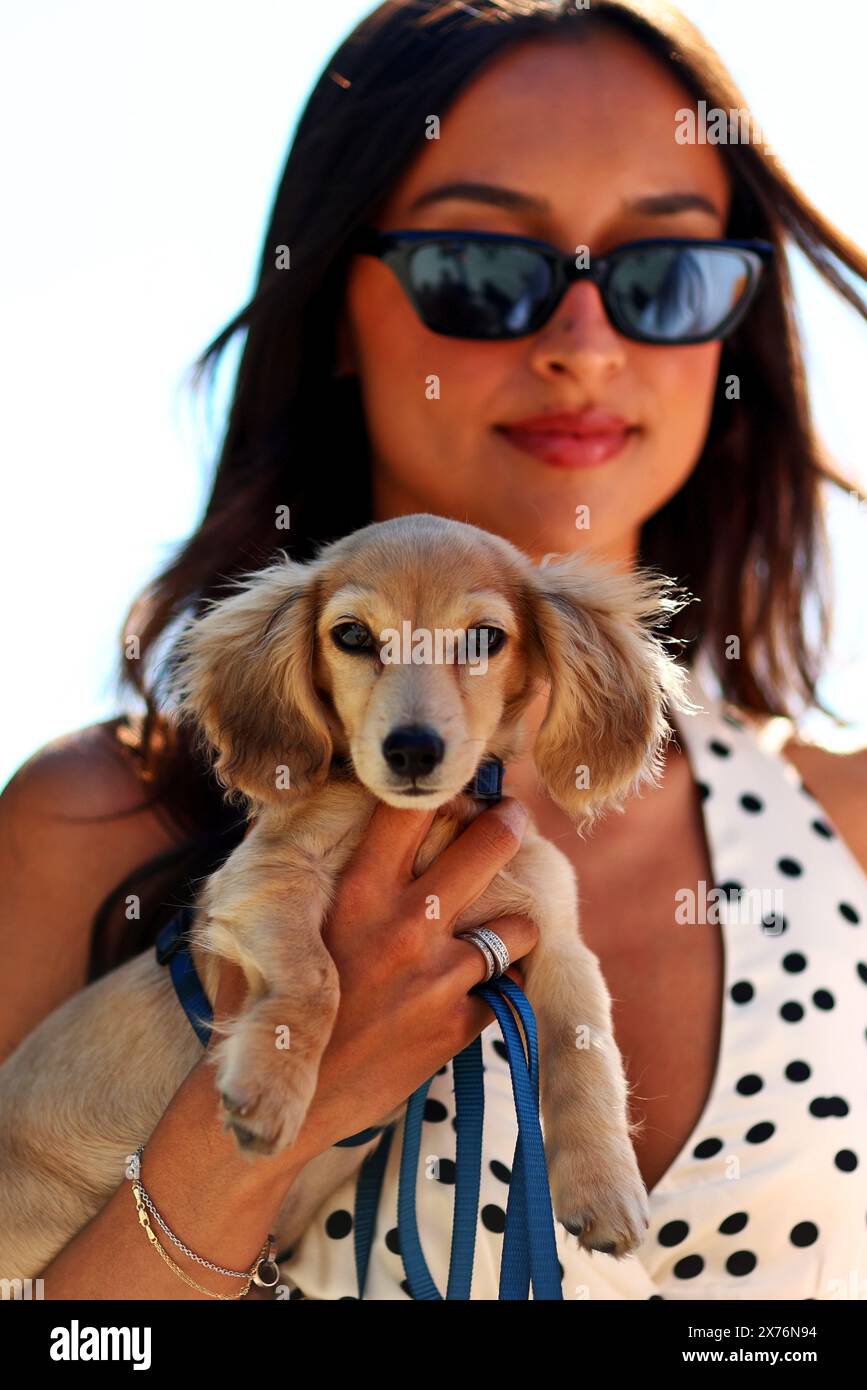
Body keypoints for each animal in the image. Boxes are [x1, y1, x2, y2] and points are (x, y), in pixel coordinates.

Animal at [0, 514, 694, 1278]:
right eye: (354, 635)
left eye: (484, 638)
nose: (413, 749)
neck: (432, 829)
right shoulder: (264, 879)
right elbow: (316, 981)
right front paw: (272, 1088)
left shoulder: (559, 944)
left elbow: (586, 1055)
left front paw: (605, 1186)